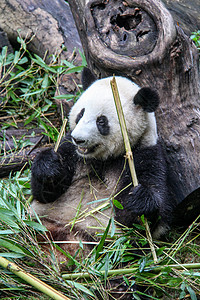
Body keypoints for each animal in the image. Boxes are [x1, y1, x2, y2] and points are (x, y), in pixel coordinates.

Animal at [30, 67, 174, 255]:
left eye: (101, 121)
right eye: (80, 114)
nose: (79, 139)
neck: (105, 158)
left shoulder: (146, 154)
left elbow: (145, 222)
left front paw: (139, 200)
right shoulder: (71, 152)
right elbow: (44, 193)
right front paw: (49, 166)